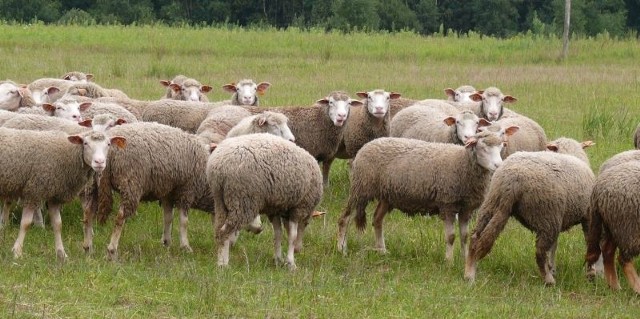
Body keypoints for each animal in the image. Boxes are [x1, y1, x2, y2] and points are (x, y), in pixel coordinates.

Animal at [0, 129, 125, 262]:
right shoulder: (34, 191)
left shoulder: (55, 197)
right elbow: (25, 223)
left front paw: (61, 254)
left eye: (108, 144)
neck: (68, 154)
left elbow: (58, 224)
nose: (99, 162)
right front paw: (17, 252)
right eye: (85, 143)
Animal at [208, 132, 322, 270]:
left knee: (218, 230)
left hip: (220, 201)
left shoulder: (275, 210)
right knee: (224, 232)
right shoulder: (299, 207)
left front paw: (278, 260)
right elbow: (292, 236)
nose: (298, 250)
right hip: (243, 200)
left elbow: (277, 234)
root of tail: (219, 165)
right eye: (307, 224)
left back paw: (220, 260)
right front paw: (291, 263)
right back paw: (223, 264)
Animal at [462, 138, 596, 284]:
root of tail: (513, 180)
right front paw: (591, 273)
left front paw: (552, 268)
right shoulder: (587, 216)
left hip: (492, 203)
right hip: (547, 214)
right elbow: (589, 243)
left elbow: (554, 246)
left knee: (475, 238)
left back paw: (469, 273)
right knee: (540, 251)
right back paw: (549, 280)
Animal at [588, 160, 640, 296]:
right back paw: (637, 288)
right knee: (623, 259)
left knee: (607, 250)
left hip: (613, 225)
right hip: (628, 227)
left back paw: (614, 286)